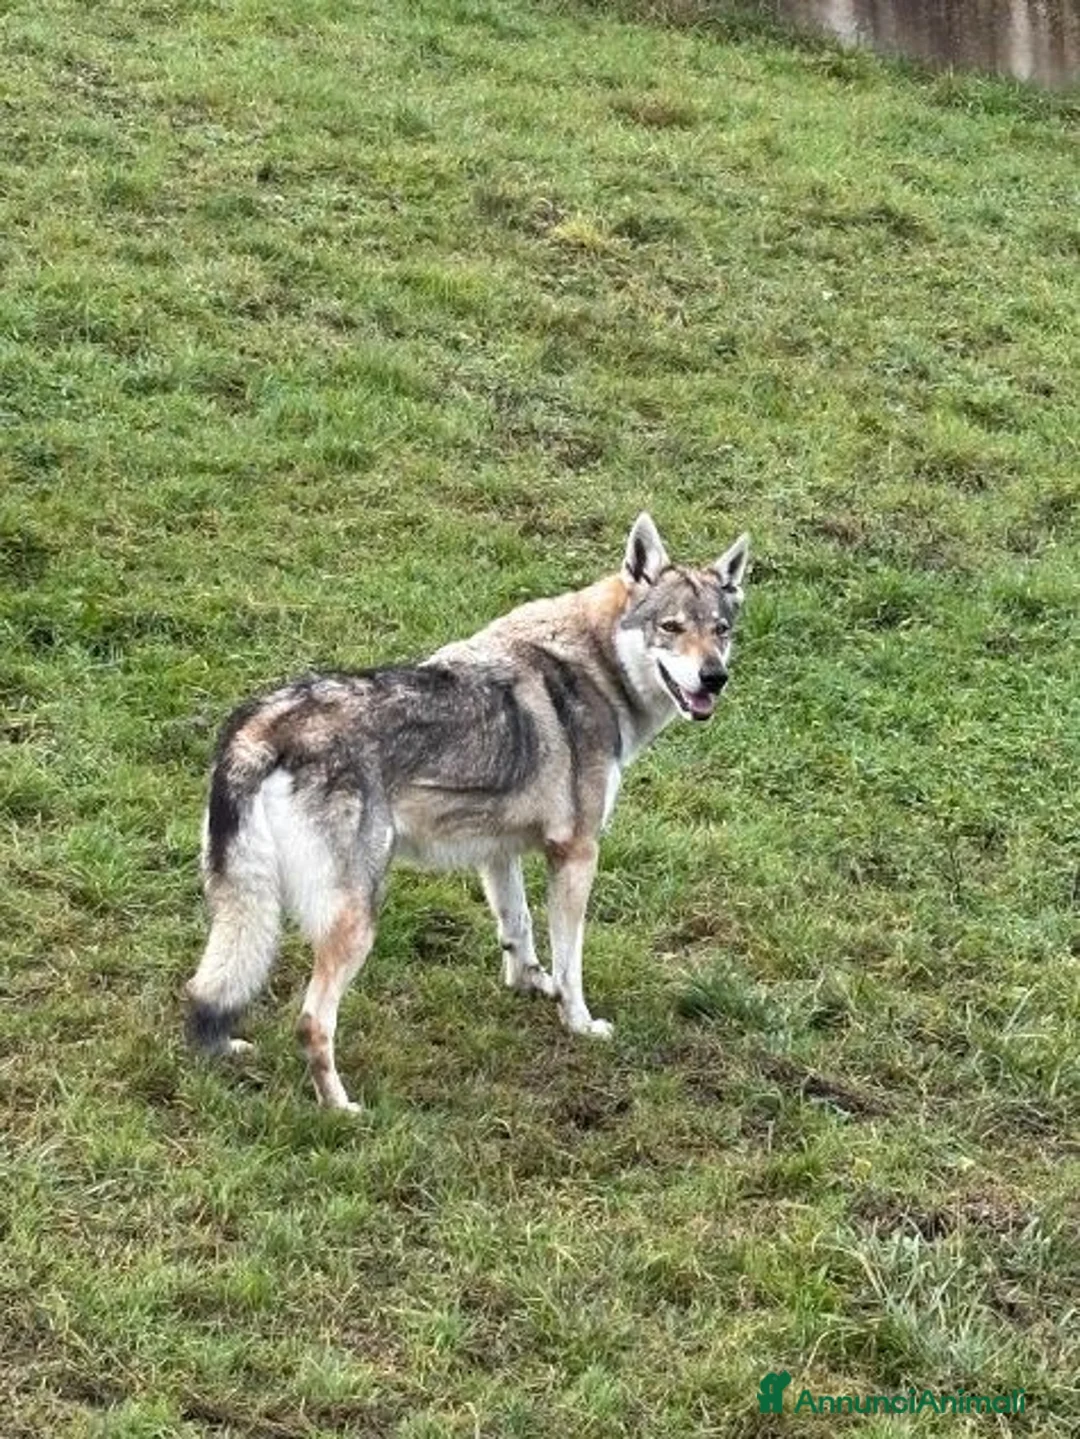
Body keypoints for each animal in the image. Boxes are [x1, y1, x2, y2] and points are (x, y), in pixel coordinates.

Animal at [184, 514, 749, 1109]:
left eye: (721, 630)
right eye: (671, 627)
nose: (714, 677)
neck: (593, 668)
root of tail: (261, 722)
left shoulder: (498, 851)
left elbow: (518, 927)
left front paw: (530, 983)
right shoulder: (577, 852)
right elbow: (571, 959)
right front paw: (579, 1023)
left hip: (251, 911)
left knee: (202, 989)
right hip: (357, 920)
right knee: (312, 1022)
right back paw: (342, 1108)